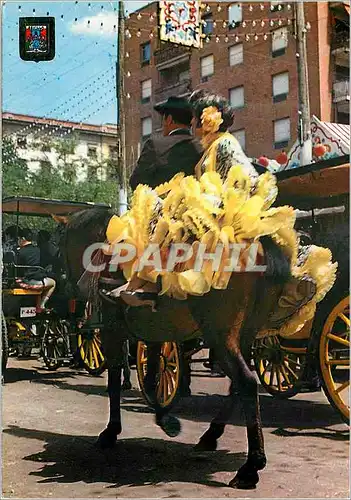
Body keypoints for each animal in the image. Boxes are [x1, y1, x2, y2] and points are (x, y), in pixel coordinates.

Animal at [60, 206, 292, 488]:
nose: (66, 289)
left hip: (219, 335)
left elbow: (116, 380)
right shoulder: (152, 333)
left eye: (57, 246)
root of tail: (258, 244)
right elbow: (152, 380)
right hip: (244, 335)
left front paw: (113, 430)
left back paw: (251, 466)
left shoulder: (112, 332)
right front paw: (165, 418)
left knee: (246, 381)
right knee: (236, 386)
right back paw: (211, 436)